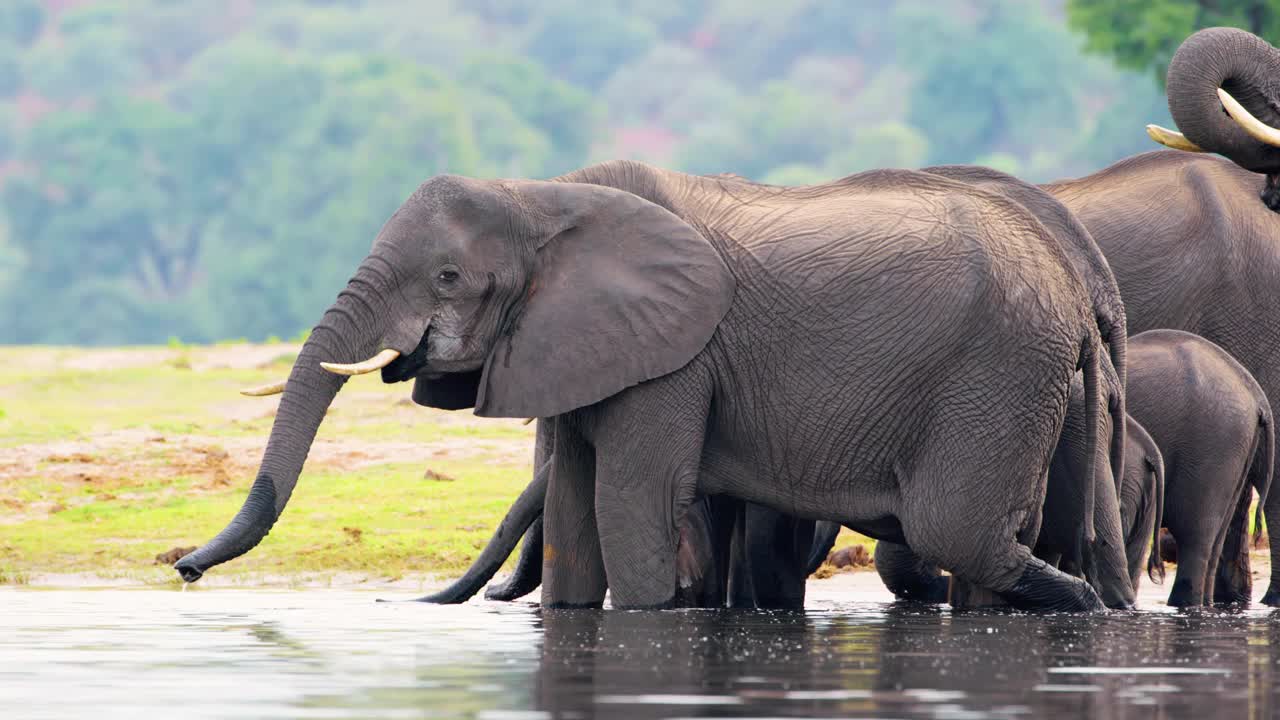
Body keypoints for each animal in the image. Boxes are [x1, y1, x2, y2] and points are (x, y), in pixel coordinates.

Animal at [177, 159, 1111, 607]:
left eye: (448, 277)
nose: (180, 566)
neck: (544, 197)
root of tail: (1072, 288)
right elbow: (572, 511)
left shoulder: (678, 355)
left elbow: (629, 499)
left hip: (996, 371)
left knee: (958, 532)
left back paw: (1091, 609)